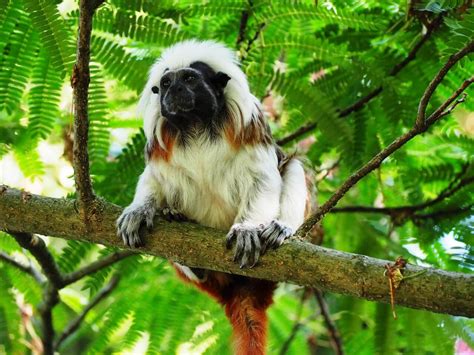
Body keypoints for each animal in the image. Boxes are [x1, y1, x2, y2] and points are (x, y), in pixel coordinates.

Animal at [116, 39, 306, 355]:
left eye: (190, 79)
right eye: (166, 83)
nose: (174, 90)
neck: (195, 125)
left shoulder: (250, 127)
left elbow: (263, 179)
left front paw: (247, 229)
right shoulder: (159, 145)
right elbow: (153, 179)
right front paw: (139, 211)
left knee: (294, 166)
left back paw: (281, 228)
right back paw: (182, 235)